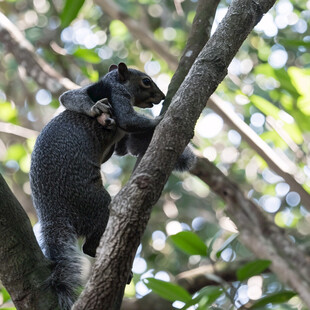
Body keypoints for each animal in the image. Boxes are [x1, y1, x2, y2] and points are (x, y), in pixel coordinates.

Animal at [29, 63, 194, 310]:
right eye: (146, 81)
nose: (163, 96)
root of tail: (53, 213)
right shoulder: (119, 97)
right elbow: (128, 120)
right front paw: (161, 118)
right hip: (95, 204)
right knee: (89, 245)